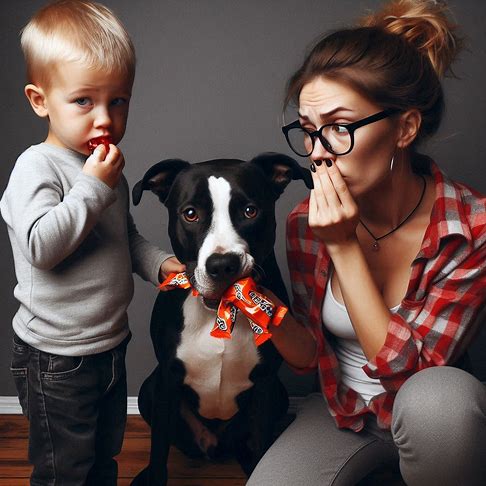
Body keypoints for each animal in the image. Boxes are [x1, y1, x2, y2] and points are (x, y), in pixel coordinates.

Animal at [130, 153, 312, 486]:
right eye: (190, 214)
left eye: (250, 211)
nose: (223, 264)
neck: (220, 311)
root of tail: (215, 445)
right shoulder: (167, 380)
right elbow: (159, 448)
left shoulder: (265, 383)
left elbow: (262, 441)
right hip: (149, 390)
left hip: (279, 395)